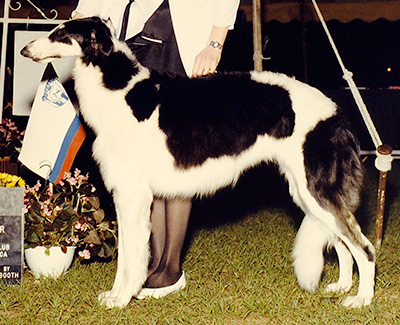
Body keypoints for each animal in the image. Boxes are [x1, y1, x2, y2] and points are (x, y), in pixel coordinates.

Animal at [20, 16, 376, 308]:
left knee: (365, 248)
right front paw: (117, 295)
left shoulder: (133, 196)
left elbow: (131, 258)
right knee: (343, 245)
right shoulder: (126, 195)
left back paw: (361, 300)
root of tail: (337, 113)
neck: (118, 89)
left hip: (316, 191)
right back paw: (342, 287)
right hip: (306, 193)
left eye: (60, 33)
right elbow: (128, 258)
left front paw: (121, 300)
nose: (24, 49)